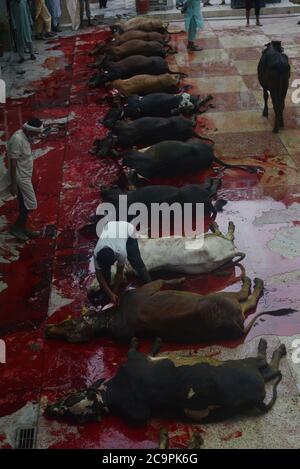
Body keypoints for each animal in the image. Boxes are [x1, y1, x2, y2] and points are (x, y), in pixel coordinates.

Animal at [45, 336, 288, 424]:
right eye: (73, 416)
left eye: (69, 398)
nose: (49, 409)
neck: (112, 395)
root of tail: (256, 397)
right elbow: (140, 349)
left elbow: (141, 348)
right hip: (247, 366)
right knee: (267, 366)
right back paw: (274, 348)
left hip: (249, 367)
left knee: (268, 367)